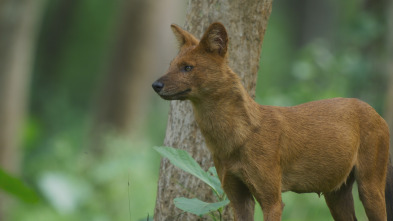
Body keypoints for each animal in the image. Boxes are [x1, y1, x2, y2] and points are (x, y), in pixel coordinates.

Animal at [152, 22, 390, 221]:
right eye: (171, 65)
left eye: (187, 68)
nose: (155, 85)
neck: (234, 139)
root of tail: (376, 112)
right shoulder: (238, 197)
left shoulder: (272, 199)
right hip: (336, 193)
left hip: (370, 187)